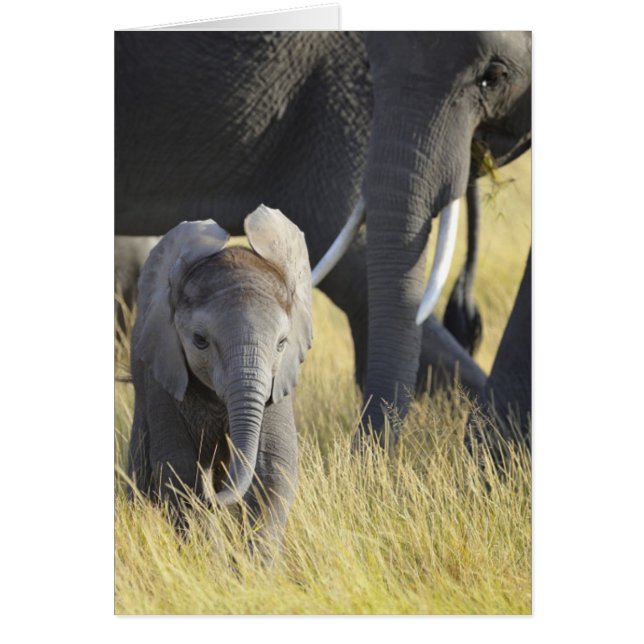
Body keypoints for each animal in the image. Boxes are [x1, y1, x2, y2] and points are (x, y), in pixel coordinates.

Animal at [127, 205, 312, 548]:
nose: (218, 494)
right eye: (200, 340)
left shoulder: (277, 381)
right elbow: (180, 470)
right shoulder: (162, 373)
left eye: (282, 343)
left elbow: (273, 465)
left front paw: (252, 563)